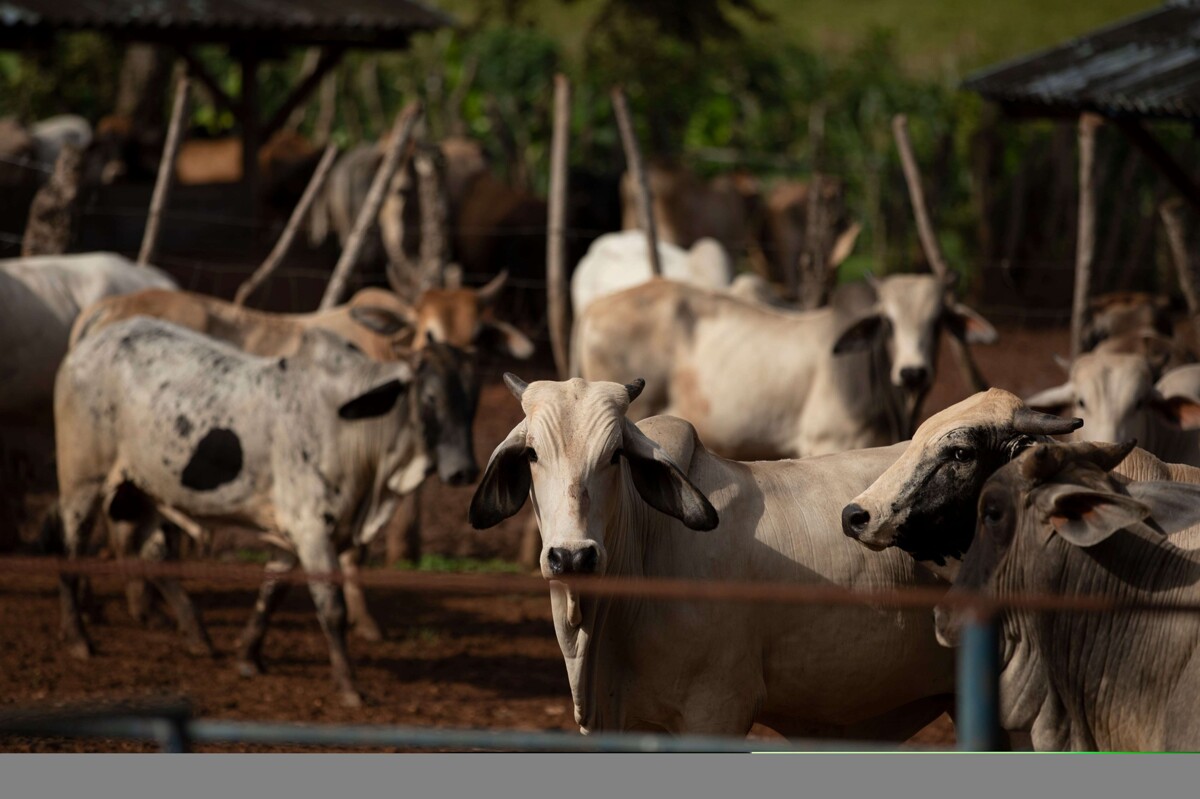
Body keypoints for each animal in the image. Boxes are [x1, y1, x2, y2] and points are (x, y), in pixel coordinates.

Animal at [56, 316, 439, 705]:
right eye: (429, 399)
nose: (455, 468)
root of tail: (88, 346)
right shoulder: (312, 530)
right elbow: (330, 607)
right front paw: (349, 686)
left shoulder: (295, 537)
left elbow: (272, 593)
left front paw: (249, 656)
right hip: (82, 483)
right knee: (72, 552)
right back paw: (78, 638)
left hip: (143, 488)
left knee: (154, 554)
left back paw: (196, 635)